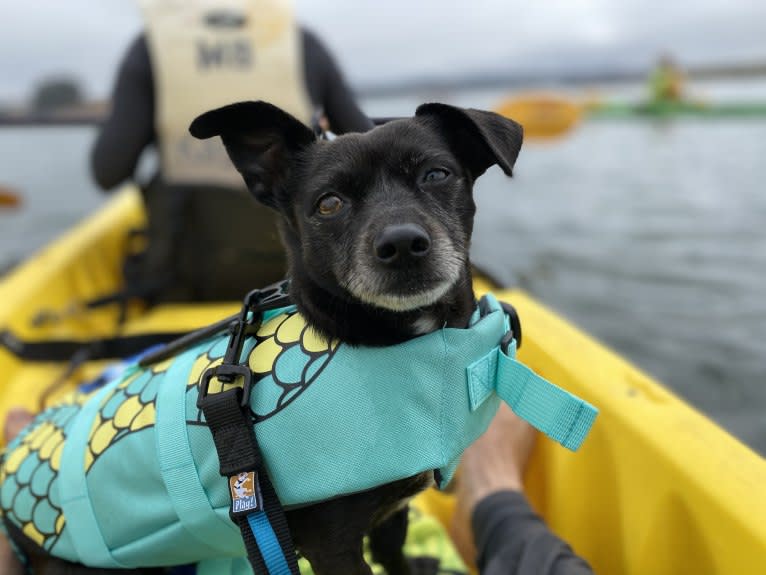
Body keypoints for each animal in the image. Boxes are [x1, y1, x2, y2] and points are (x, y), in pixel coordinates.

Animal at [188, 102, 520, 575]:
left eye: (436, 174)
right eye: (329, 203)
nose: (403, 243)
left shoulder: (391, 514)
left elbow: (394, 556)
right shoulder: (332, 547)